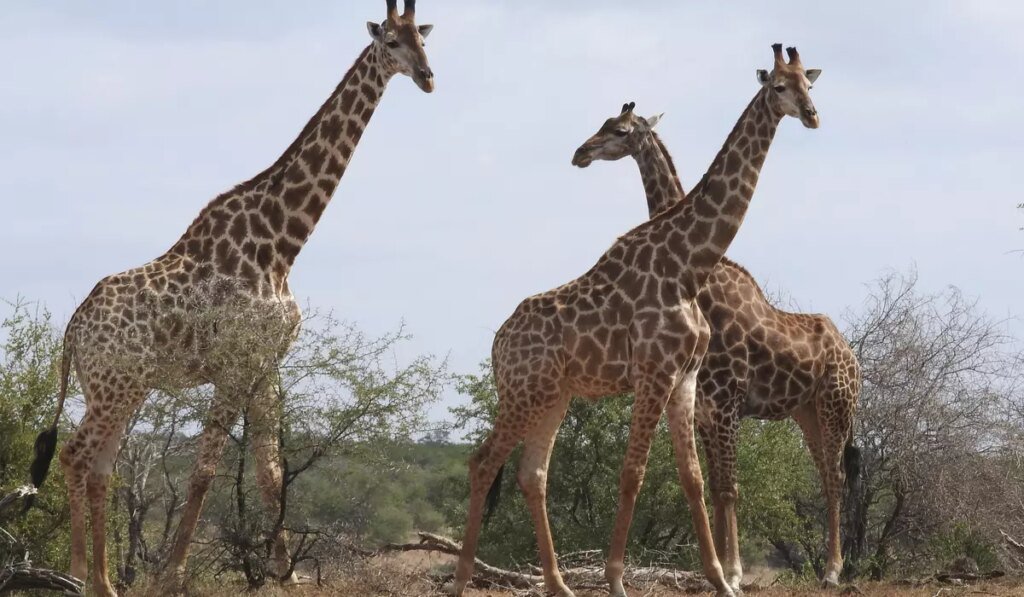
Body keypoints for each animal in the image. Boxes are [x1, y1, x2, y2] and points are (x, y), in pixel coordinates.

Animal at [26, 2, 434, 595]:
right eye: (391, 42)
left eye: (423, 39)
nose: (428, 77)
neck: (282, 244)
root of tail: (72, 330)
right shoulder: (235, 363)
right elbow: (204, 471)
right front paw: (170, 578)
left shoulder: (267, 364)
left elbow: (269, 470)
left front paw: (288, 576)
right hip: (112, 386)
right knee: (76, 456)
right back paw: (82, 576)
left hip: (125, 389)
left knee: (99, 465)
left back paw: (100, 578)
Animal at [453, 44, 822, 597]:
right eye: (779, 86)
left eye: (809, 84)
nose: (813, 115)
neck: (688, 266)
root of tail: (497, 344)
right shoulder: (653, 373)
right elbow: (633, 474)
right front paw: (616, 579)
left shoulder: (685, 378)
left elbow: (693, 477)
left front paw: (721, 579)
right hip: (524, 392)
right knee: (482, 463)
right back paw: (461, 580)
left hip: (554, 395)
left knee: (532, 474)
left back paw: (559, 584)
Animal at [572, 102, 860, 590]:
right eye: (603, 124)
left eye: (620, 130)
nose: (581, 152)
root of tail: (852, 354)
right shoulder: (706, 405)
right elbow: (714, 486)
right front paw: (724, 569)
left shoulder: (727, 402)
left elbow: (728, 487)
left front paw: (734, 572)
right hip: (806, 411)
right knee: (825, 472)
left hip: (836, 406)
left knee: (836, 476)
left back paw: (833, 571)